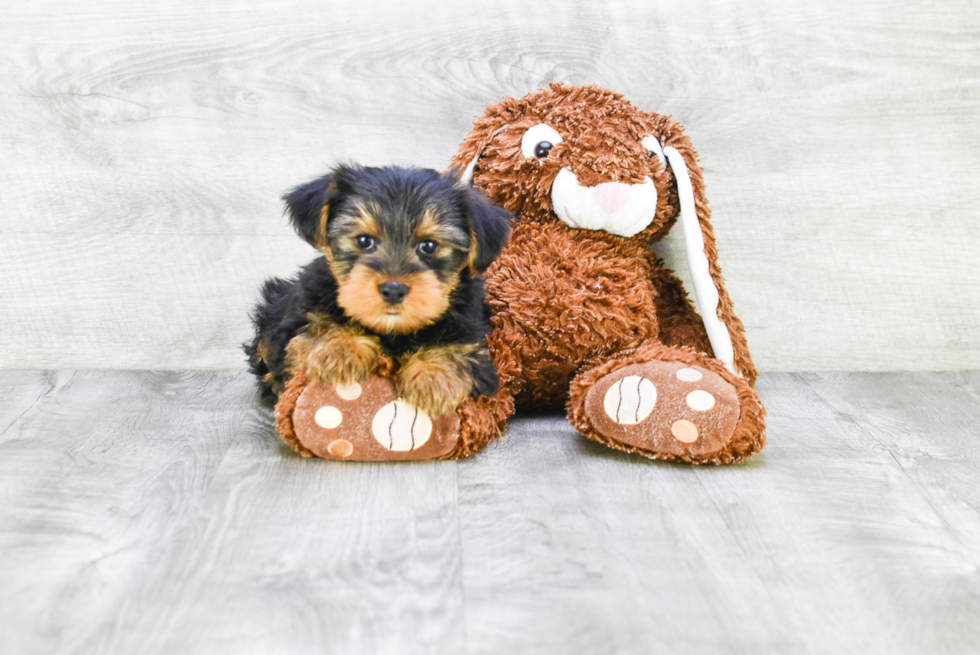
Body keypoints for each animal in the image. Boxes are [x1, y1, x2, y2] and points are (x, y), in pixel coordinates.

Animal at [245, 167, 512, 418]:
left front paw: (434, 376)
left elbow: (458, 346)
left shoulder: (474, 336)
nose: (393, 290)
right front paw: (339, 348)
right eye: (364, 241)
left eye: (429, 246)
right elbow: (315, 323)